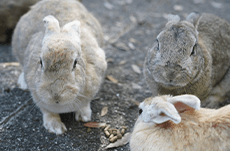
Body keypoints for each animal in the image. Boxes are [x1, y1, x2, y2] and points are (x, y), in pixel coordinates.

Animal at [11, 0, 107, 134]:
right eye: (40, 62)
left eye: (75, 63)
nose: (56, 96)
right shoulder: (38, 97)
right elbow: (48, 112)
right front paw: (56, 128)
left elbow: (85, 103)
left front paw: (84, 116)